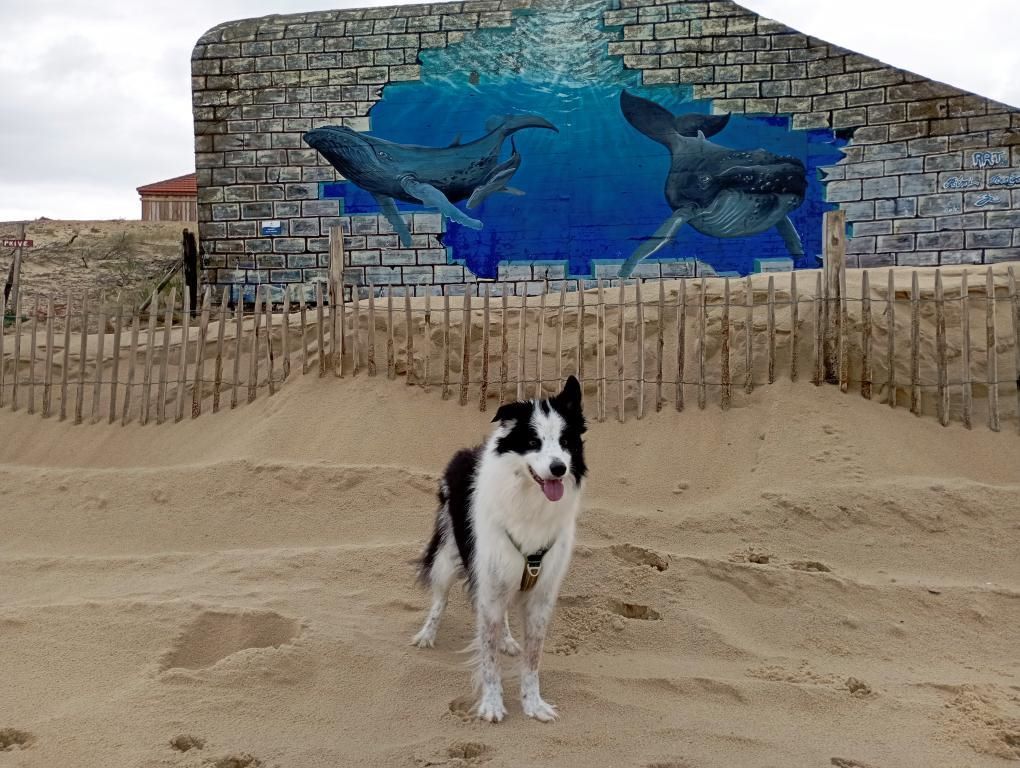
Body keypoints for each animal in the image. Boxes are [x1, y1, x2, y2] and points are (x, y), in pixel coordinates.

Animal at [414, 375, 591, 722]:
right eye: (533, 442)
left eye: (566, 441)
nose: (559, 468)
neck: (529, 500)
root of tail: (465, 452)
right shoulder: (491, 582)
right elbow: (489, 656)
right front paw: (492, 704)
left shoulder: (540, 595)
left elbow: (533, 658)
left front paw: (533, 704)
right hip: (448, 556)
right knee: (439, 599)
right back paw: (427, 634)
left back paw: (509, 639)